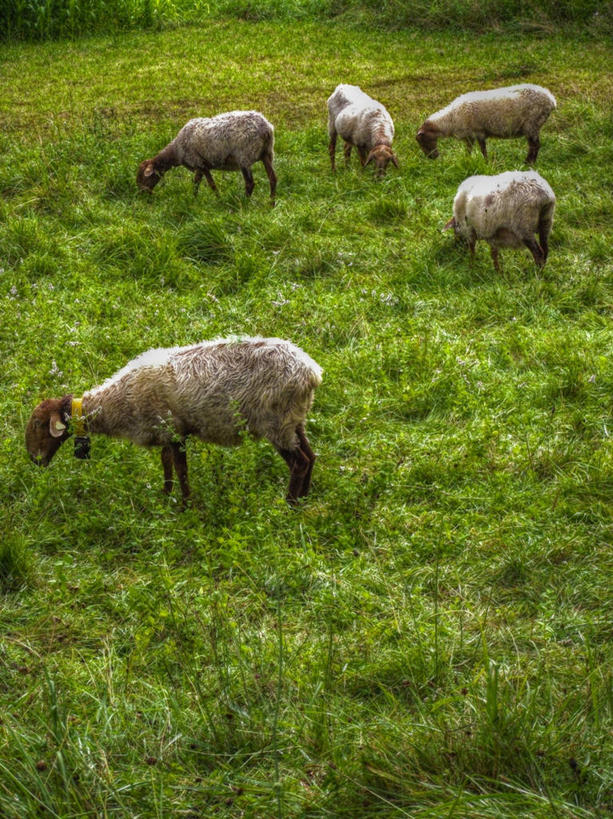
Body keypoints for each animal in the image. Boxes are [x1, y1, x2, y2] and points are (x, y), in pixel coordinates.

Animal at [25, 338, 320, 506]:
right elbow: (166, 464)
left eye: (38, 424)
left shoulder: (176, 432)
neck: (116, 401)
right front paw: (166, 496)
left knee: (299, 462)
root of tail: (311, 372)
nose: (33, 460)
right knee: (310, 456)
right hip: (295, 419)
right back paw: (304, 498)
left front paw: (185, 504)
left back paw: (288, 504)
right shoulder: (164, 433)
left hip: (277, 423)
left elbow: (181, 470)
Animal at [137, 110, 278, 205]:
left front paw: (218, 199)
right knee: (273, 178)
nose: (142, 194)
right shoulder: (199, 166)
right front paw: (193, 198)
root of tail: (266, 129)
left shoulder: (200, 163)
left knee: (250, 183)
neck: (176, 151)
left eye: (144, 177)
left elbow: (211, 184)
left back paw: (244, 202)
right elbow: (196, 183)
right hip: (267, 153)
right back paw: (271, 202)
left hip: (244, 156)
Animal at [416, 85, 556, 165]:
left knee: (535, 145)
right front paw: (467, 160)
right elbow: (469, 149)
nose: (432, 158)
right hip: (532, 126)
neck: (450, 119)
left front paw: (486, 162)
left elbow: (483, 149)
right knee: (534, 145)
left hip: (532, 124)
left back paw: (528, 164)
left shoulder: (478, 131)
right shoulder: (471, 135)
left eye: (423, 141)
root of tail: (551, 100)